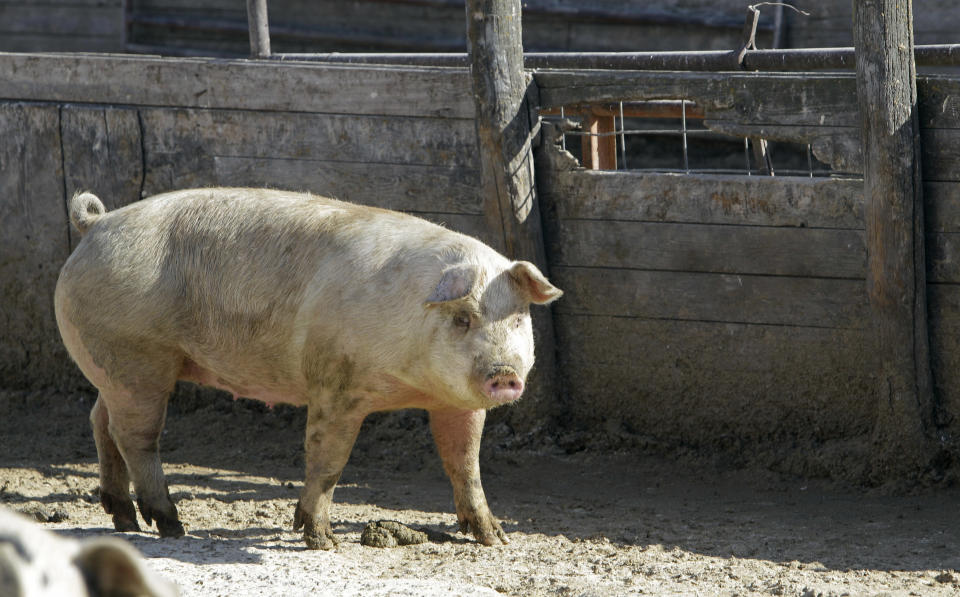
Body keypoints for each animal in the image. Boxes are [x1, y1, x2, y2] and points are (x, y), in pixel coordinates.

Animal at [54, 186, 564, 548]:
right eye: (463, 319)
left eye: (518, 319)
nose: (503, 374)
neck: (409, 382)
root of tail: (95, 223)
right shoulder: (336, 383)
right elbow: (328, 459)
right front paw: (322, 541)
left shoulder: (456, 403)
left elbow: (465, 464)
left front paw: (495, 539)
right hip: (138, 357)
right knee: (135, 437)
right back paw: (170, 526)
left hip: (114, 365)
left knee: (100, 420)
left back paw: (124, 519)